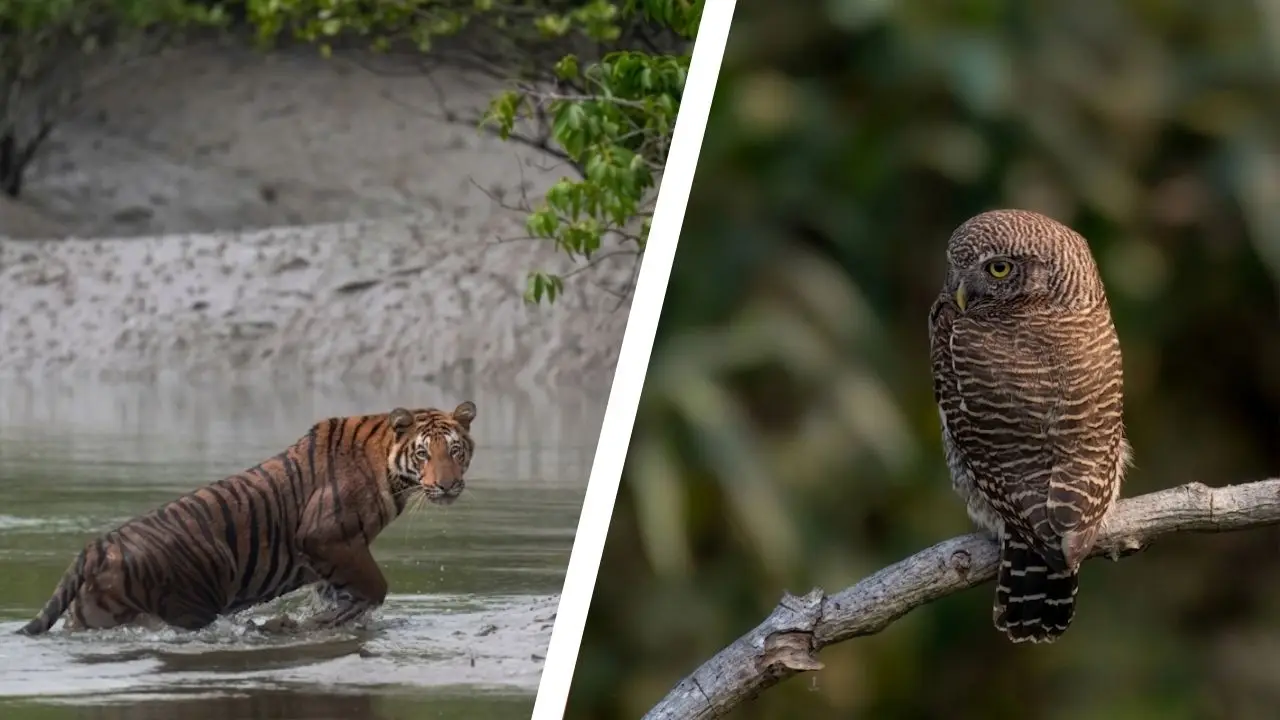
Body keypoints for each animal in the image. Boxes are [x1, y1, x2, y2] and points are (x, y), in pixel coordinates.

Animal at [15, 401, 477, 636]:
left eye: (456, 450)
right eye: (424, 453)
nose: (449, 485)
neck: (391, 469)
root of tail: (97, 547)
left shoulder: (333, 556)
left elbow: (344, 595)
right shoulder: (327, 536)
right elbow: (375, 587)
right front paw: (305, 622)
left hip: (95, 613)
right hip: (187, 604)